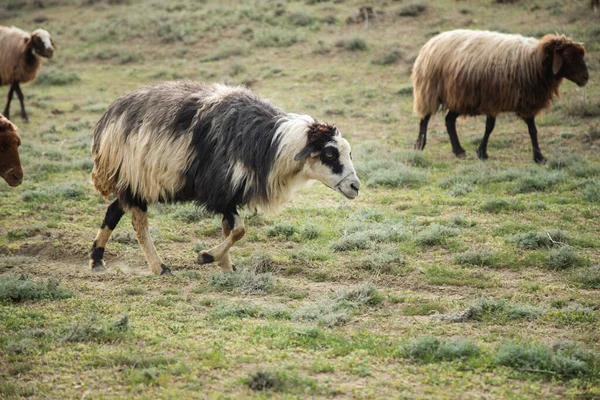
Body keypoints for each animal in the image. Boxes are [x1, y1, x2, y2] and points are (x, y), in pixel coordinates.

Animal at [89, 81, 360, 276]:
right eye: (329, 152)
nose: (355, 186)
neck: (273, 145)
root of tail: (107, 118)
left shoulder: (231, 192)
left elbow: (230, 229)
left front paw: (225, 266)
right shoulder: (219, 190)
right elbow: (239, 229)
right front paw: (206, 257)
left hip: (132, 181)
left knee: (113, 211)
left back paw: (97, 261)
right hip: (135, 179)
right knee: (138, 223)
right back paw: (160, 268)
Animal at [410, 28, 588, 164]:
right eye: (568, 56)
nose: (586, 78)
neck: (534, 60)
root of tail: (433, 40)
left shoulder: (526, 101)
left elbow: (532, 129)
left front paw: (539, 156)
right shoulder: (493, 99)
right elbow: (490, 127)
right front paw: (482, 152)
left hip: (461, 97)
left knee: (449, 120)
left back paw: (458, 150)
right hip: (431, 90)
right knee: (425, 118)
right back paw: (419, 145)